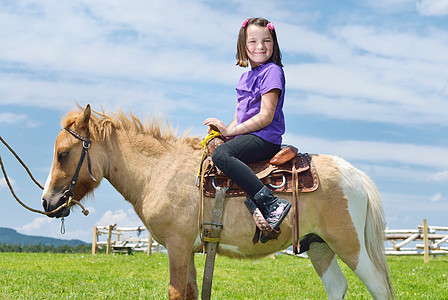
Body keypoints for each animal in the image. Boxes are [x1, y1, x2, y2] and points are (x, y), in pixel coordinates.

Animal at [41, 104, 392, 298]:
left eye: (63, 154)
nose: (47, 202)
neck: (160, 170)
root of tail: (355, 175)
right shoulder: (189, 250)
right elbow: (192, 293)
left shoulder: (178, 247)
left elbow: (176, 293)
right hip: (318, 245)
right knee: (336, 287)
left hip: (349, 245)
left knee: (378, 287)